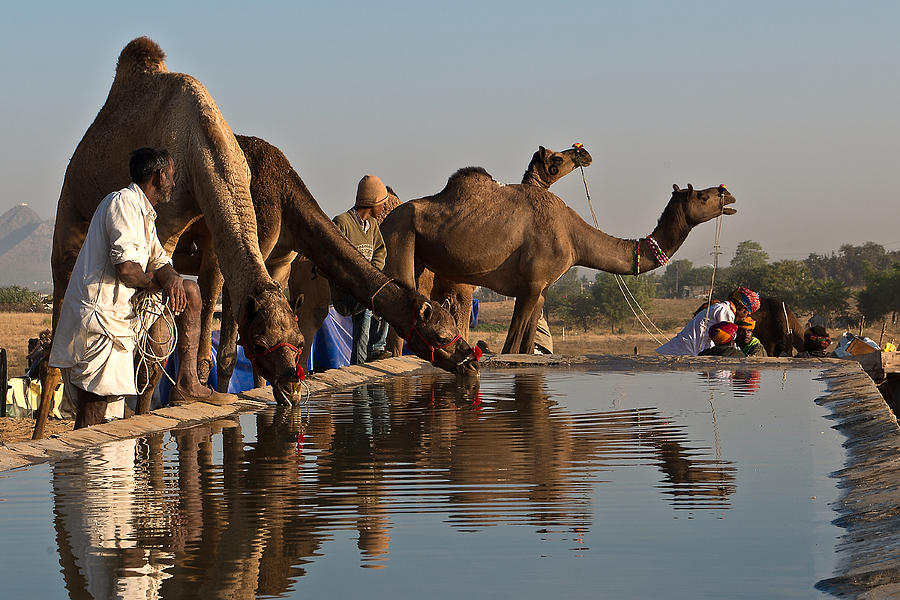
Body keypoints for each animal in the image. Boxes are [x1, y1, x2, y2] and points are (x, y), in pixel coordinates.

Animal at [33, 36, 304, 436]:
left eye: (299, 339)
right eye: (259, 341)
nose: (293, 387)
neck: (204, 150)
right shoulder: (164, 221)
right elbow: (156, 339)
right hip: (71, 202)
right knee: (61, 292)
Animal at [171, 134, 478, 392]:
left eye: (452, 327)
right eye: (440, 336)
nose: (471, 360)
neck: (287, 205)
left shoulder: (279, 266)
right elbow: (229, 353)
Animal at [384, 173, 736, 354]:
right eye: (702, 196)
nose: (727, 194)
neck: (574, 236)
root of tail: (388, 216)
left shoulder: (541, 292)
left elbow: (527, 348)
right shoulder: (529, 286)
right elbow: (511, 348)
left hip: (418, 254)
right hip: (401, 234)